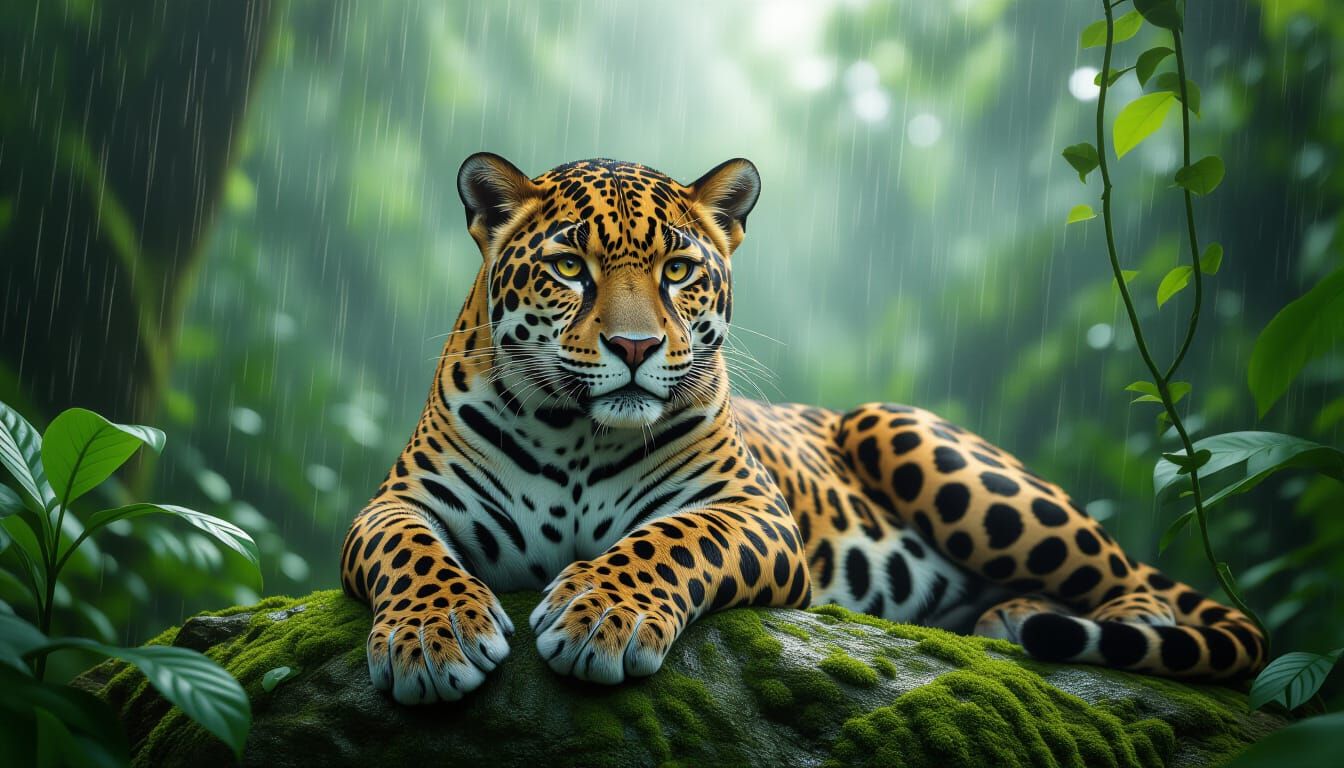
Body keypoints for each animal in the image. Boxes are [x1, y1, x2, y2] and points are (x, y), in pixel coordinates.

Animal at [339, 153, 1266, 704]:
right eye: (570, 267)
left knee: (1133, 583)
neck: (576, 432)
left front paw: (600, 616)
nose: (635, 347)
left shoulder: (749, 510)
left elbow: (666, 542)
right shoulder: (394, 503)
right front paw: (431, 637)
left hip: (911, 434)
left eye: (679, 270)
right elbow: (409, 552)